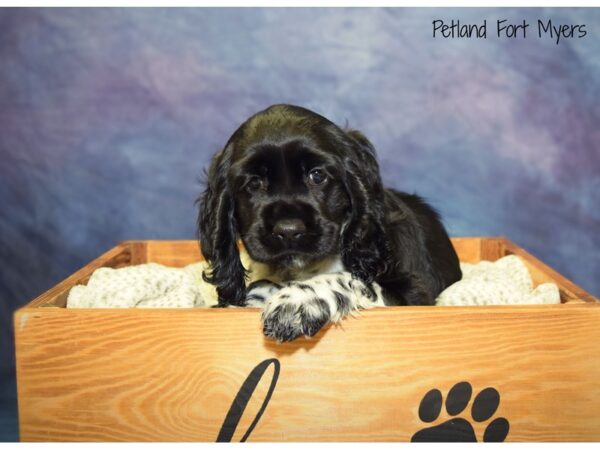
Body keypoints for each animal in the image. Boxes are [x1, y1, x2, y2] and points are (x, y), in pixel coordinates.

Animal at [197, 103, 460, 340]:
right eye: (253, 183)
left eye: (317, 175)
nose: (288, 231)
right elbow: (260, 285)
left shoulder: (413, 293)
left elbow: (350, 279)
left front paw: (296, 302)